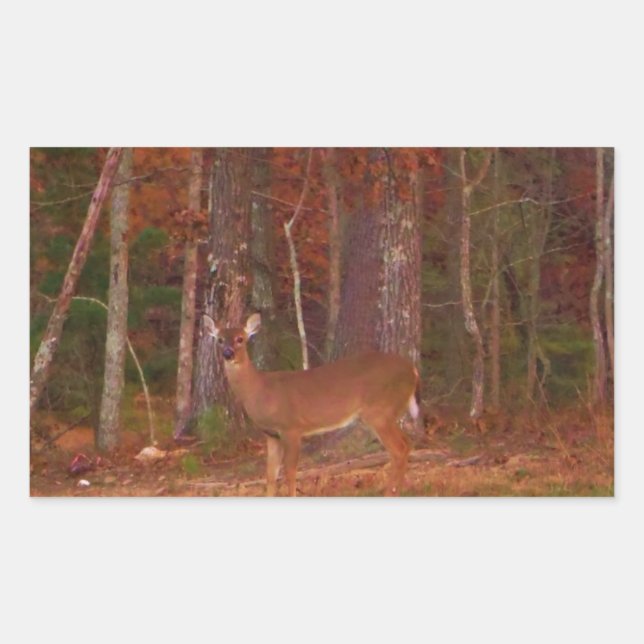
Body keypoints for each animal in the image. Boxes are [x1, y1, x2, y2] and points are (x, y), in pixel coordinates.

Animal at [203, 313, 420, 496]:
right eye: (220, 339)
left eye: (240, 338)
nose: (228, 353)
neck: (260, 391)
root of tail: (413, 369)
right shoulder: (271, 434)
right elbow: (270, 475)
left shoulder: (291, 427)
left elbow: (290, 472)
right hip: (387, 412)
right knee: (407, 444)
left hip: (379, 411)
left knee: (399, 448)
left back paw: (390, 493)